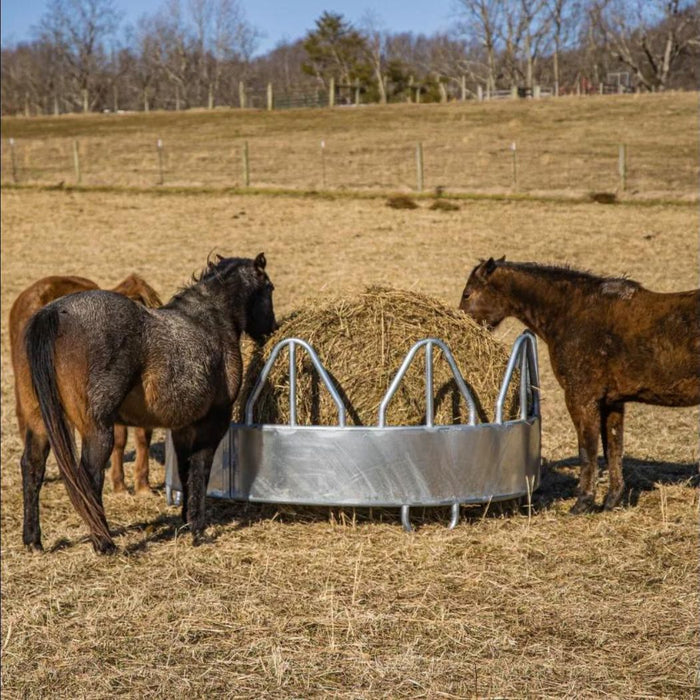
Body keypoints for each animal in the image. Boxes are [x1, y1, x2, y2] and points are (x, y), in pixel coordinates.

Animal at [459, 257, 700, 514]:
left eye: (467, 293)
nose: (461, 320)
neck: (572, 312)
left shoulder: (581, 398)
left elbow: (587, 449)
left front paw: (583, 501)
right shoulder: (612, 402)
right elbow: (613, 448)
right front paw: (611, 500)